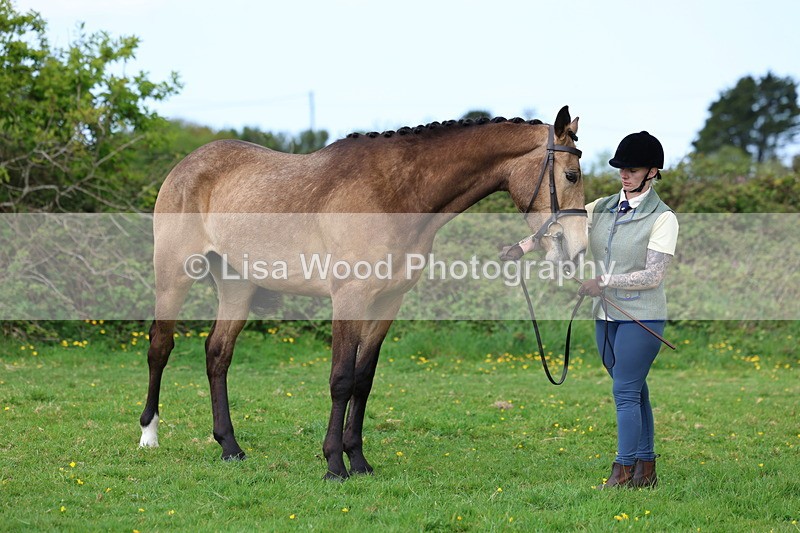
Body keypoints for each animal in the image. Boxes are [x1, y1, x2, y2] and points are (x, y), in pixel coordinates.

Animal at [139, 106, 587, 480]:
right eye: (571, 175)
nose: (579, 247)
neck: (395, 193)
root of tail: (188, 163)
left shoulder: (387, 303)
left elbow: (363, 380)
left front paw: (358, 461)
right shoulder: (349, 299)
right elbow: (341, 378)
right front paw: (334, 466)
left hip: (237, 286)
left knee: (218, 354)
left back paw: (229, 446)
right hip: (174, 275)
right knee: (160, 346)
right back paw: (149, 436)